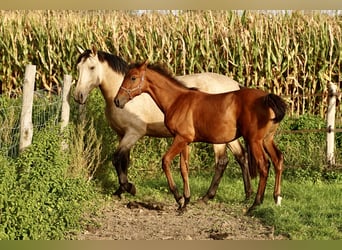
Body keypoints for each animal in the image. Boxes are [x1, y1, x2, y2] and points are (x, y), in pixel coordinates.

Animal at [75, 47, 252, 203]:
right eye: (78, 67)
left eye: (91, 67)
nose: (78, 96)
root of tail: (235, 86)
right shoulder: (122, 134)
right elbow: (124, 161)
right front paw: (120, 190)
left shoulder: (133, 133)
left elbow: (117, 158)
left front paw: (129, 188)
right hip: (227, 135)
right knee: (241, 155)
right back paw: (247, 194)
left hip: (218, 138)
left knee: (222, 161)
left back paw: (206, 197)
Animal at [115, 61, 286, 211]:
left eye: (133, 77)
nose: (117, 101)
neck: (177, 100)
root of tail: (266, 98)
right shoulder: (185, 141)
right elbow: (184, 168)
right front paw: (185, 201)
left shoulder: (180, 139)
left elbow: (166, 161)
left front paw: (178, 198)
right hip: (267, 139)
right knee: (278, 159)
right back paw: (276, 198)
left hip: (254, 140)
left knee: (264, 165)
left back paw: (255, 204)